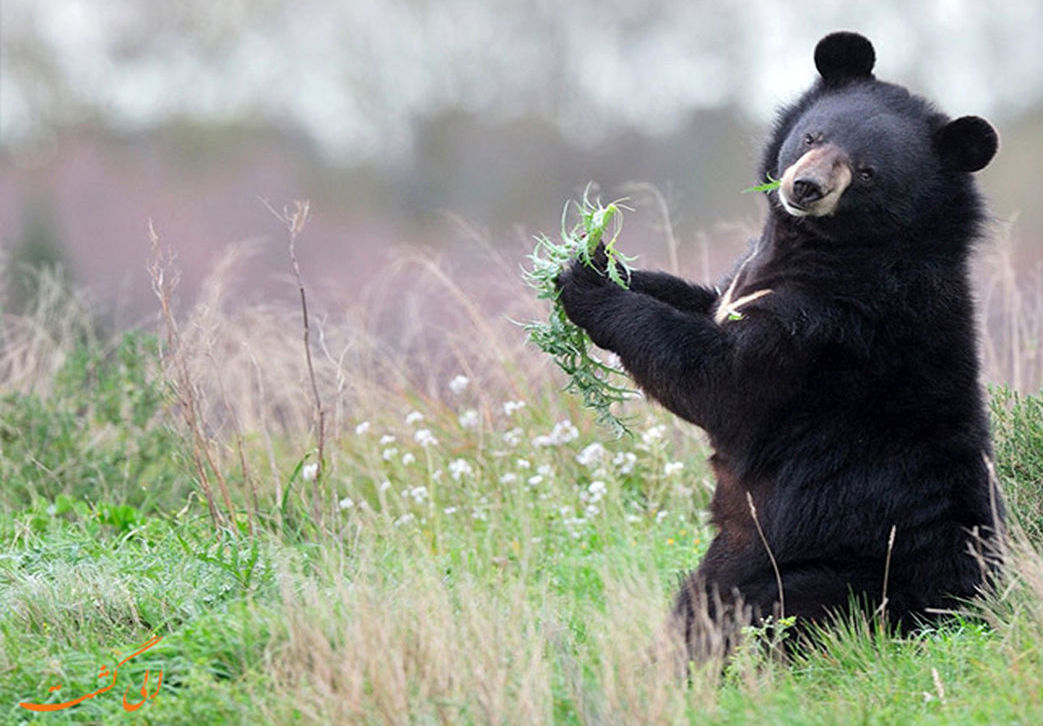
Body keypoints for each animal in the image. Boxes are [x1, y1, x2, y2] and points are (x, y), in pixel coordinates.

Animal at [559, 31, 1005, 659]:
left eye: (867, 172)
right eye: (814, 136)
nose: (804, 187)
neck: (816, 245)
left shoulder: (828, 325)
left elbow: (721, 381)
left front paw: (583, 283)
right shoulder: (741, 284)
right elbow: (700, 301)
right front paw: (595, 255)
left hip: (814, 565)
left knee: (736, 613)